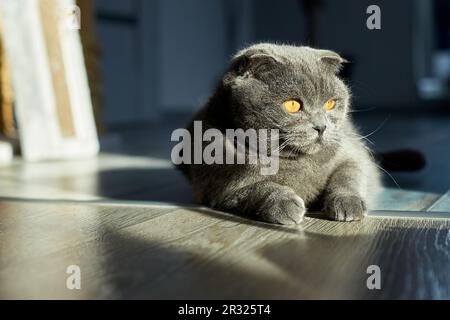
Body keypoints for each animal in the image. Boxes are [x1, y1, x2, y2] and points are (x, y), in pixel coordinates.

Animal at [178, 43, 382, 225]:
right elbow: (256, 188)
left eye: (330, 103)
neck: (297, 161)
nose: (321, 127)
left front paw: (348, 203)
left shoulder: (351, 154)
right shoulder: (219, 187)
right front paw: (284, 203)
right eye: (292, 105)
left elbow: (349, 174)